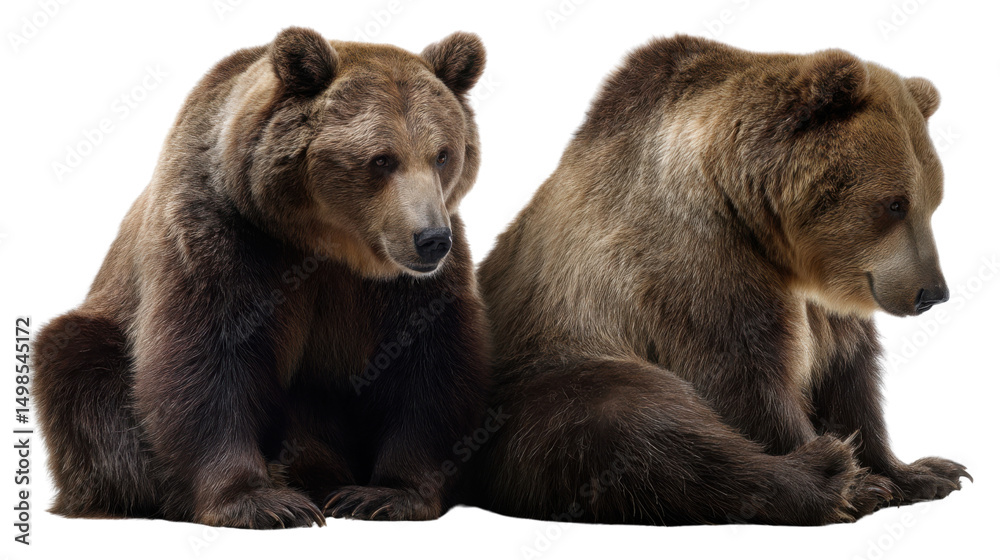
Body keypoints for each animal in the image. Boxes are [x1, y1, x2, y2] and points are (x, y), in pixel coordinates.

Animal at [33, 27, 490, 528]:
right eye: (381, 159)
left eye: (442, 154)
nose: (431, 239)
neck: (328, 242)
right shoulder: (224, 237)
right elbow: (206, 358)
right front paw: (262, 502)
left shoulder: (409, 286)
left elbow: (428, 366)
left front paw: (383, 495)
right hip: (102, 338)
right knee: (81, 369)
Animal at [471, 35, 969, 525]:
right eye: (894, 204)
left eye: (933, 202)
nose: (932, 292)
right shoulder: (694, 263)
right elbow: (744, 377)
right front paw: (859, 478)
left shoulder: (828, 303)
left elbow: (848, 377)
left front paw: (921, 472)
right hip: (546, 373)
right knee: (633, 421)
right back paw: (825, 477)